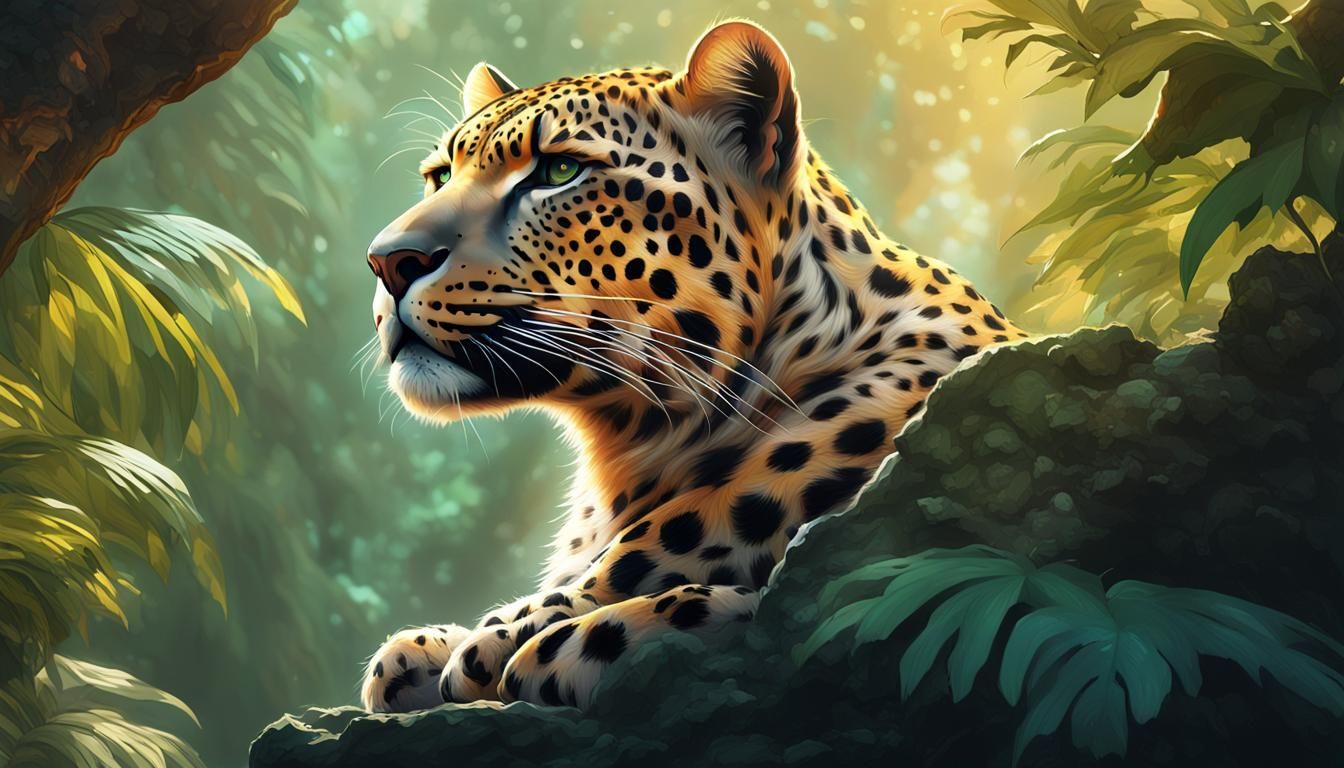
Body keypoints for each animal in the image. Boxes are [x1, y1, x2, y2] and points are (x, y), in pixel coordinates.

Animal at [359, 20, 1026, 713]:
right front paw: (435, 647)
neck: (624, 443)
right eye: (439, 176)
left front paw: (525, 635)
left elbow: (680, 542)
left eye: (559, 169)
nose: (387, 260)